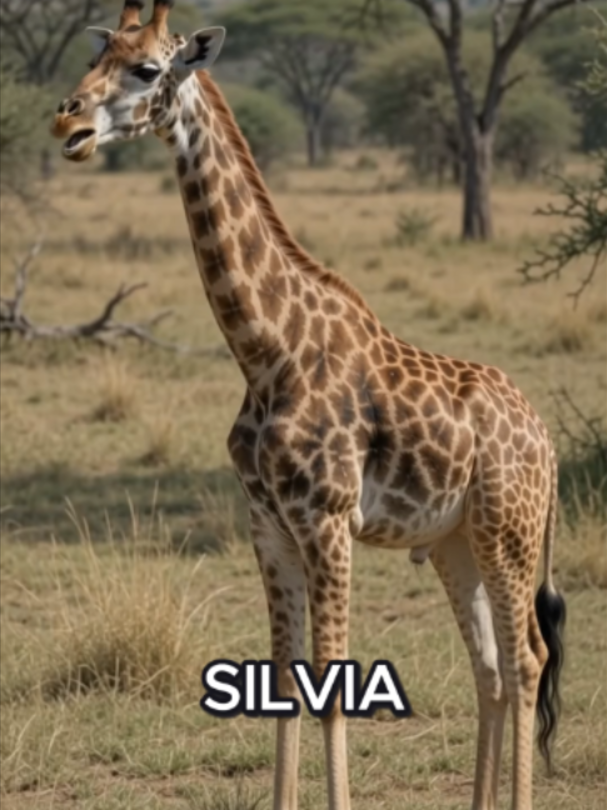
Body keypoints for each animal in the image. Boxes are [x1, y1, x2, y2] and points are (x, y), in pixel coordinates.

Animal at [51, 3, 566, 809]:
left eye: (146, 68)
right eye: (96, 57)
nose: (66, 122)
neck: (268, 351)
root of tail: (546, 441)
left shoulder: (326, 521)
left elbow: (331, 684)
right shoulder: (267, 525)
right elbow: (285, 683)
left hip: (506, 533)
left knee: (527, 660)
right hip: (455, 542)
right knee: (489, 669)